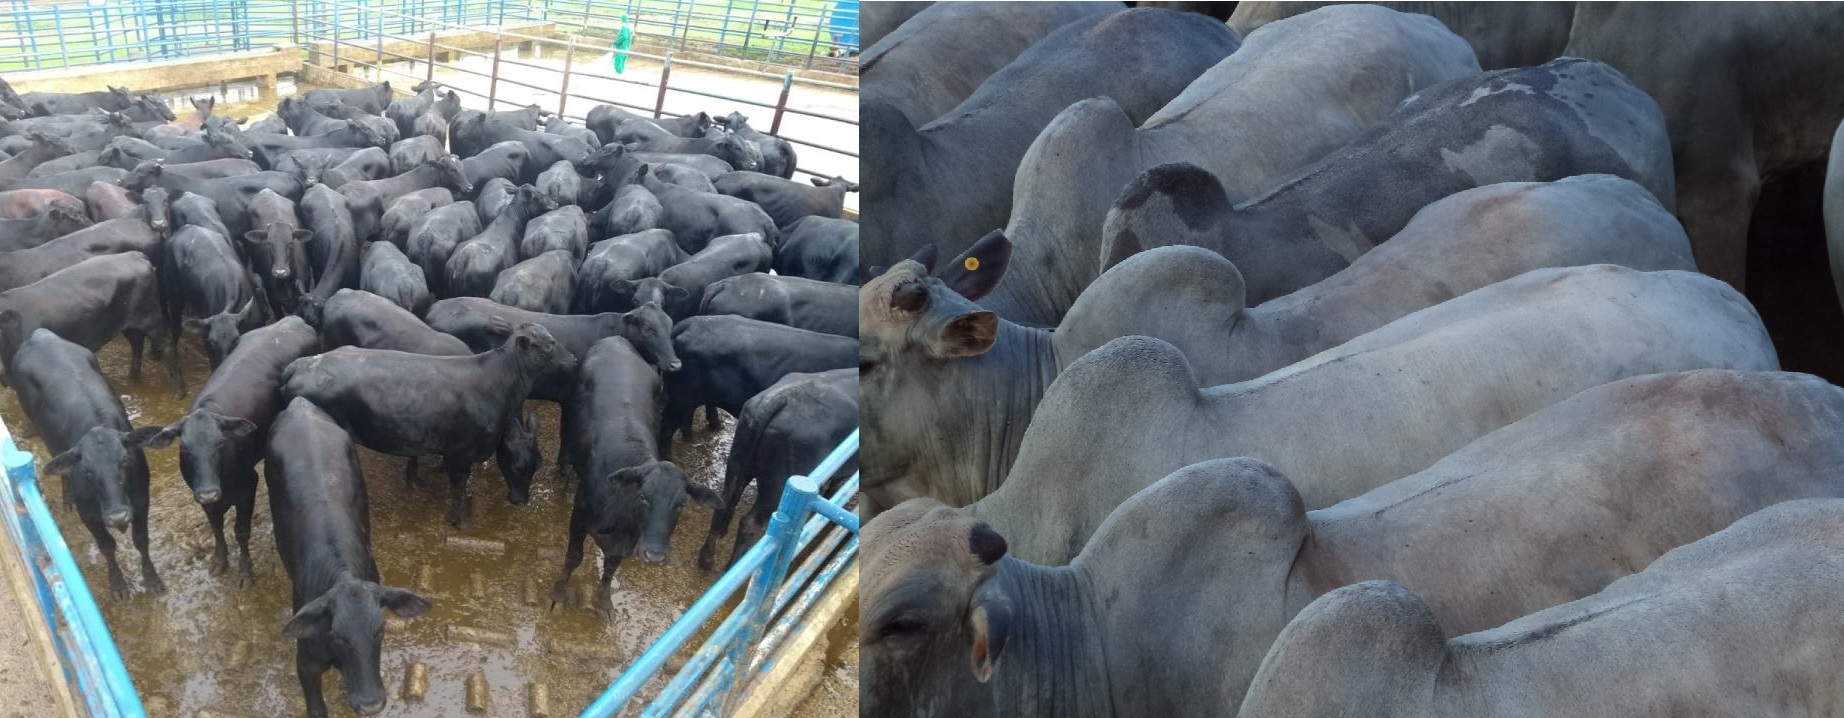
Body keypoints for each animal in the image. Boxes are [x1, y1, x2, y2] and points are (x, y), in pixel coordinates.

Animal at [11, 330, 164, 598]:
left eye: (125, 460)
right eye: (87, 471)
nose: (118, 515)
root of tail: (41, 335)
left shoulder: (141, 500)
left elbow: (141, 540)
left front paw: (151, 578)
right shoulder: (90, 514)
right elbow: (107, 546)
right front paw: (118, 584)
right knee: (62, 470)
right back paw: (67, 499)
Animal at [136, 315, 315, 583]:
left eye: (220, 443)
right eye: (185, 448)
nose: (210, 493)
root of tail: (291, 319)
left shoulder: (248, 486)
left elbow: (241, 531)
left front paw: (245, 570)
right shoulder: (202, 496)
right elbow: (216, 527)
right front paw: (220, 560)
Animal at [276, 321, 567, 524]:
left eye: (538, 463)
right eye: (550, 344)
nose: (521, 500)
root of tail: (301, 364)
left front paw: (416, 477)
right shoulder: (461, 454)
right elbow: (458, 487)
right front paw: (457, 519)